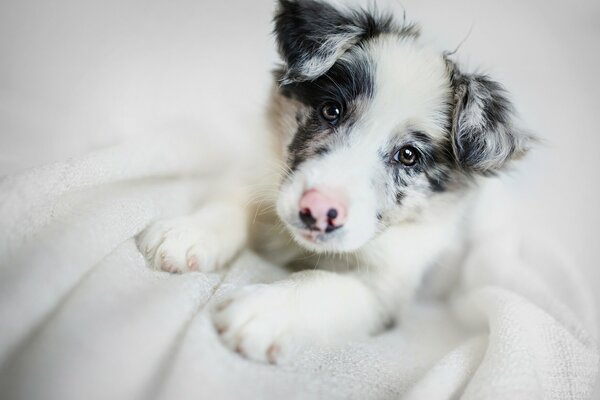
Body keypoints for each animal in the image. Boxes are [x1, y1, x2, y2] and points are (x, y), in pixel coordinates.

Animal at [138, 0, 532, 362]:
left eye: (409, 155)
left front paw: (264, 311)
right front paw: (189, 232)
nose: (317, 210)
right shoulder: (263, 170)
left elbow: (323, 283)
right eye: (331, 110)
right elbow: (232, 199)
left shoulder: (386, 290)